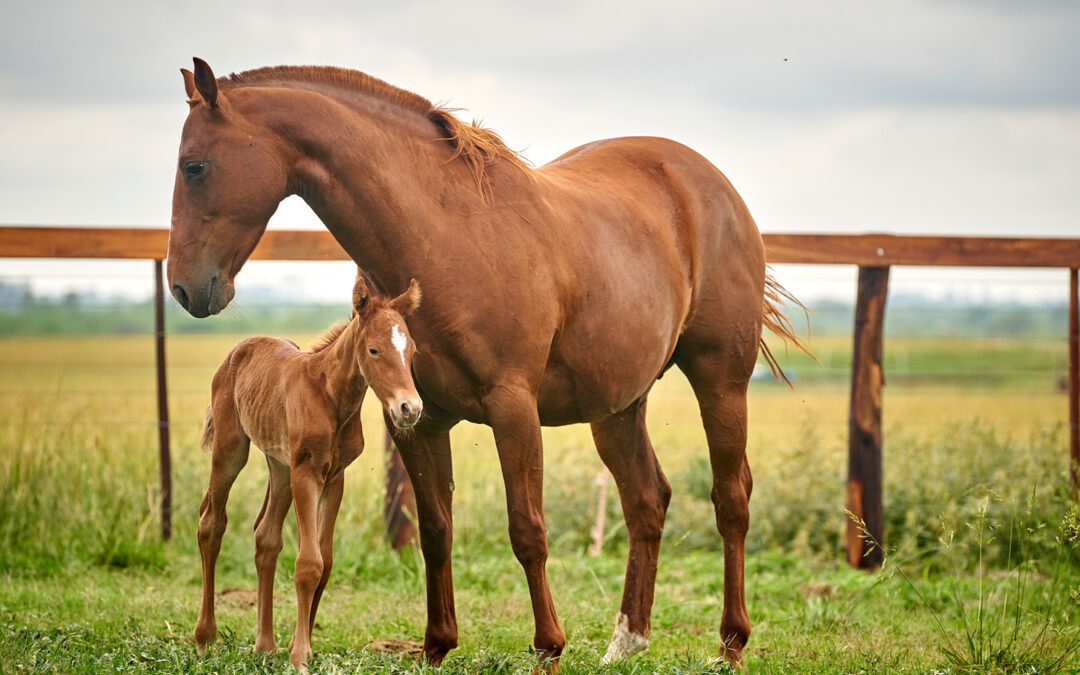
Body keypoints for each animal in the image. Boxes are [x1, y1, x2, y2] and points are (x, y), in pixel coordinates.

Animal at [196, 275, 423, 669]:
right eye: (374, 350)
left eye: (410, 351)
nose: (410, 409)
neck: (331, 396)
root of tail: (240, 348)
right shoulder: (307, 473)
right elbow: (308, 562)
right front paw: (300, 655)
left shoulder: (335, 477)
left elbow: (326, 561)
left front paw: (300, 647)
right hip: (232, 449)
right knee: (211, 522)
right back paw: (204, 637)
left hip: (280, 465)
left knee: (266, 536)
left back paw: (264, 645)